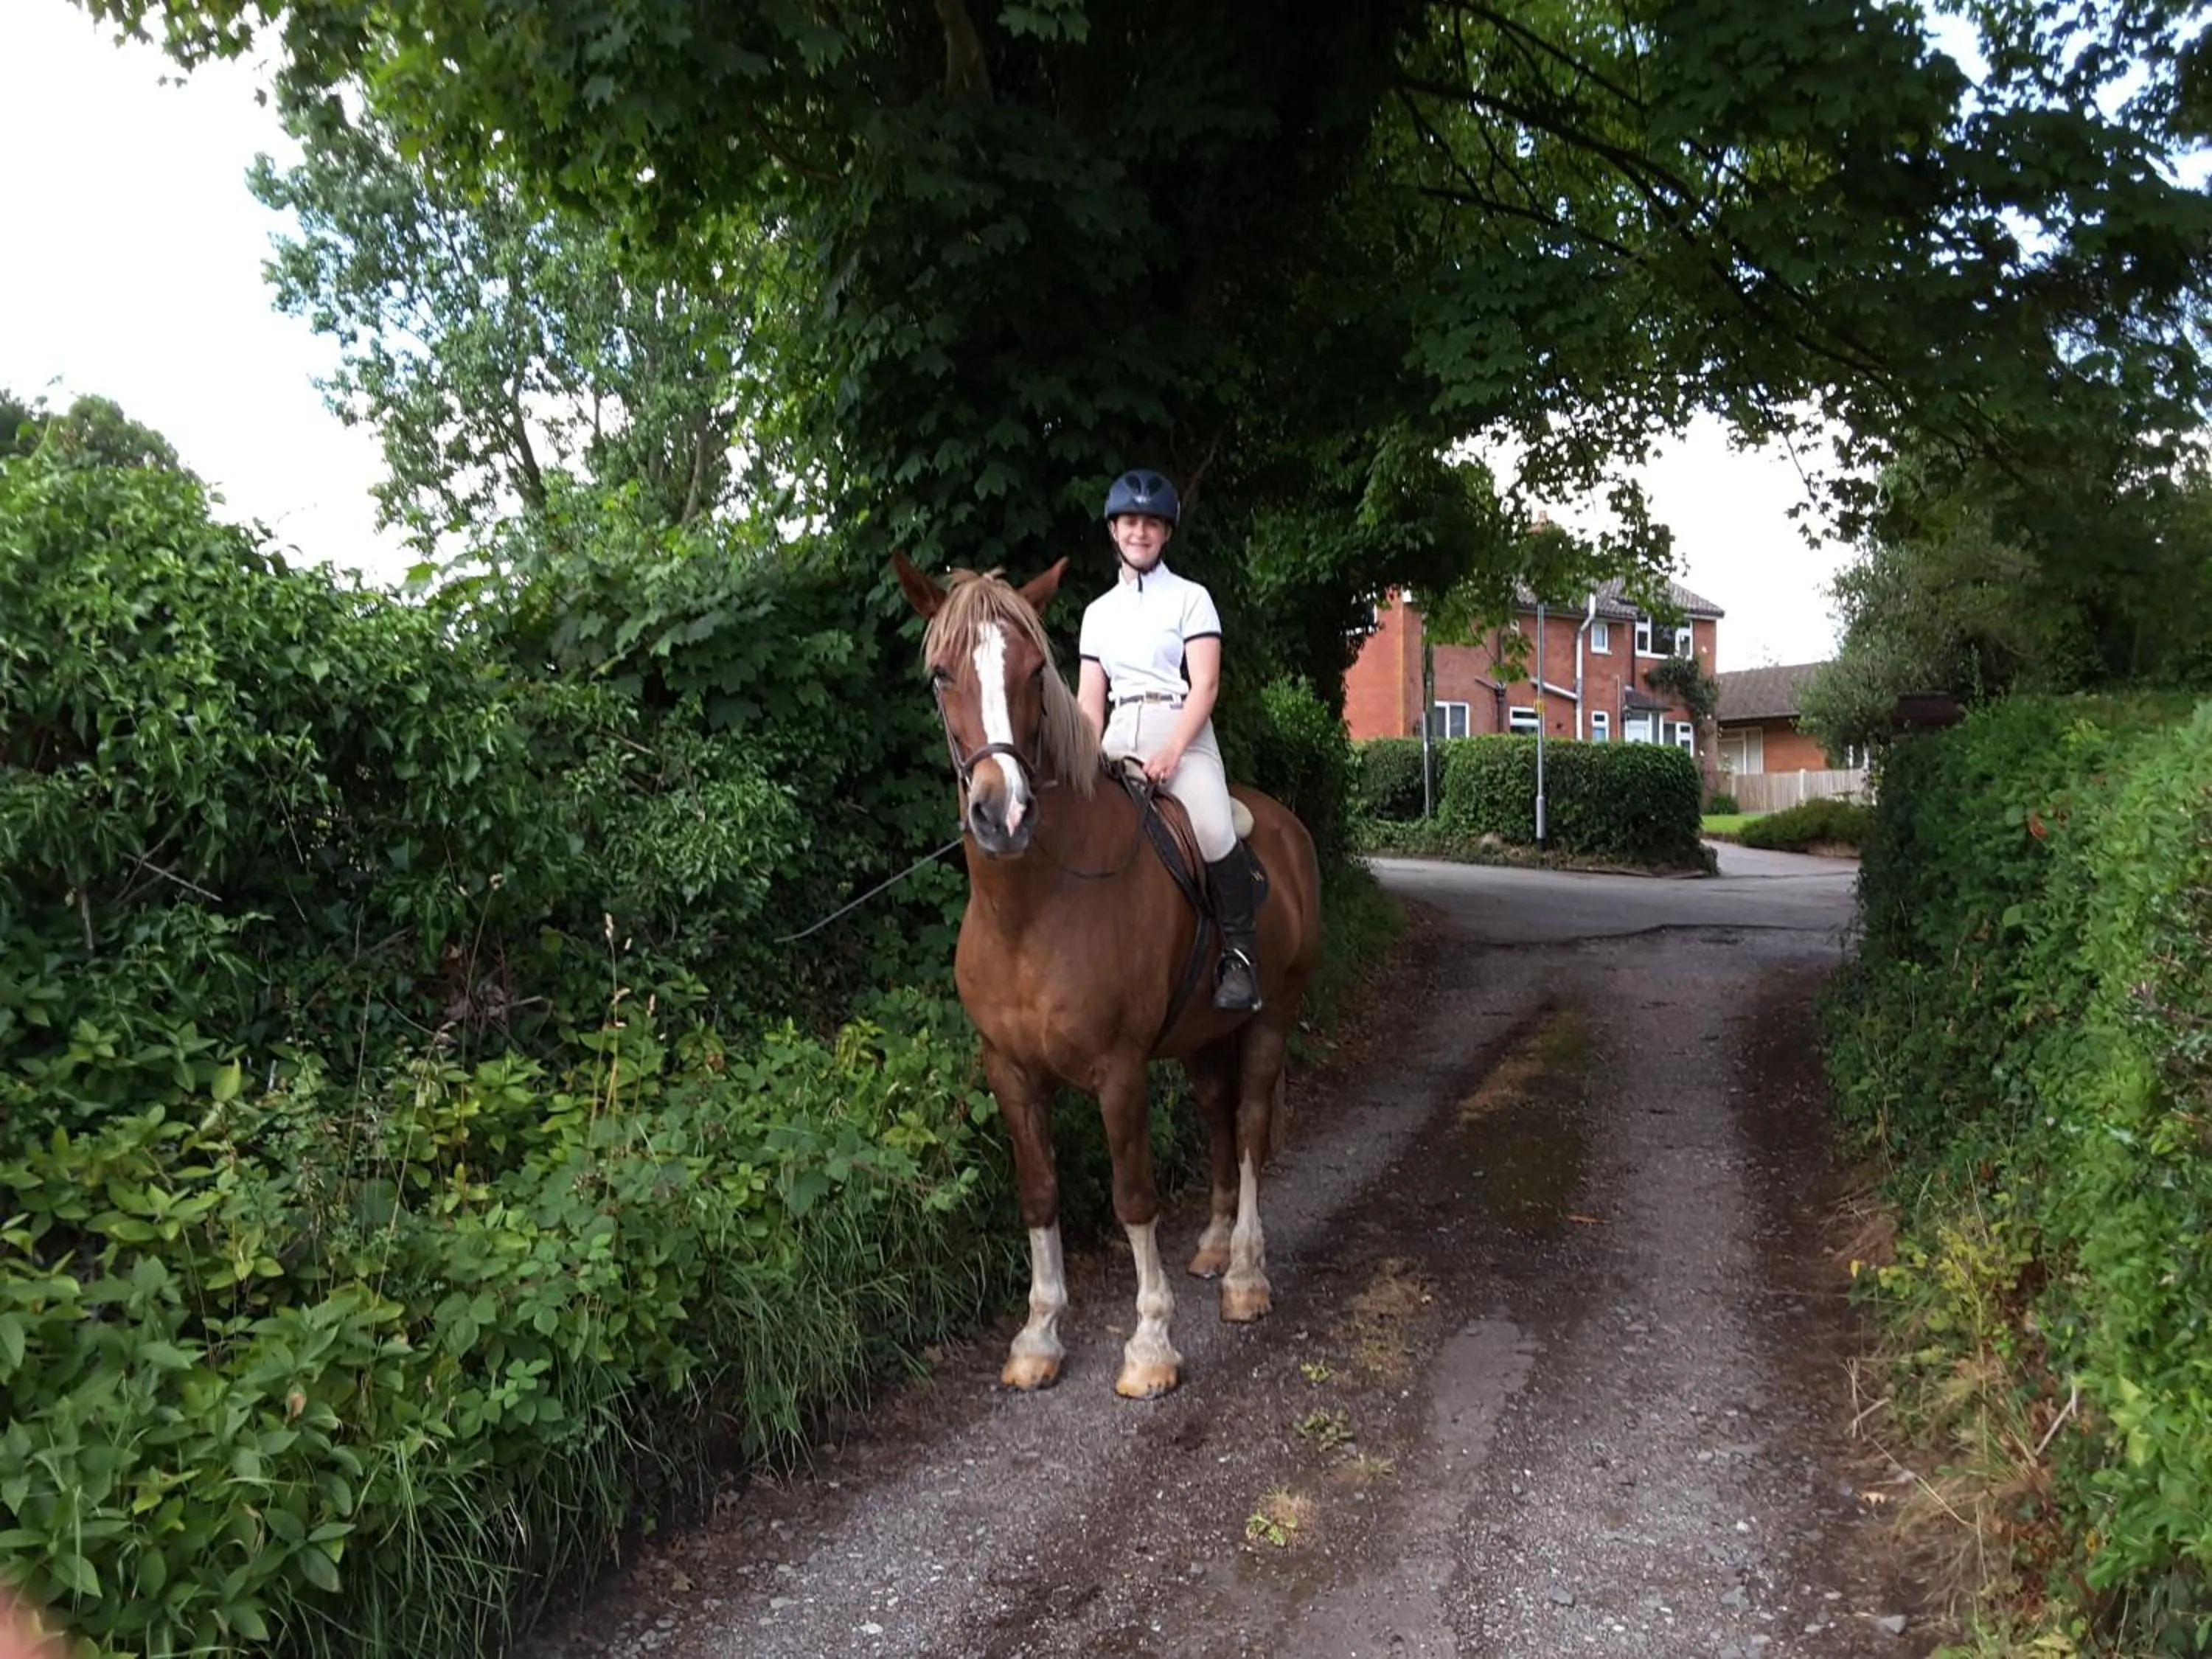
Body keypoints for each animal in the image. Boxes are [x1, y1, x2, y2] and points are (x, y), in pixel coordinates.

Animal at [893, 552, 1323, 1398]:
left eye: (1033, 671)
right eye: (939, 674)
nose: (1003, 814)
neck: (1033, 908)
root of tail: (1286, 828)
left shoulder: (1119, 1070)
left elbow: (1133, 1195)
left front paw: (1151, 1343)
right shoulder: (1010, 1072)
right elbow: (1038, 1195)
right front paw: (1037, 1336)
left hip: (1270, 1017)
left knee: (1250, 1127)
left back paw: (1244, 1276)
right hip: (1201, 1038)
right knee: (1217, 1116)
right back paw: (1214, 1247)